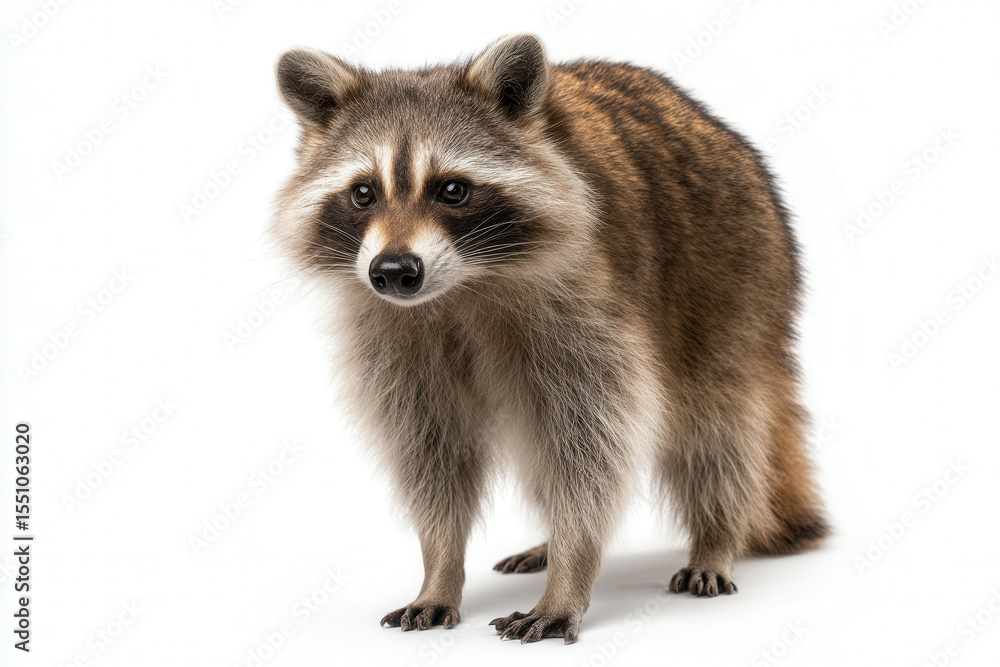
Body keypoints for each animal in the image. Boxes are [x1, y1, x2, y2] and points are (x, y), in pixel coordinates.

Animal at [272, 33, 828, 644]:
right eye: (363, 193)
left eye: (452, 190)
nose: (394, 271)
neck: (462, 284)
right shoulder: (391, 330)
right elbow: (432, 448)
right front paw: (440, 566)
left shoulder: (587, 305)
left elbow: (592, 445)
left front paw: (572, 570)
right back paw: (548, 540)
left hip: (735, 271)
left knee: (719, 423)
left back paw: (717, 536)